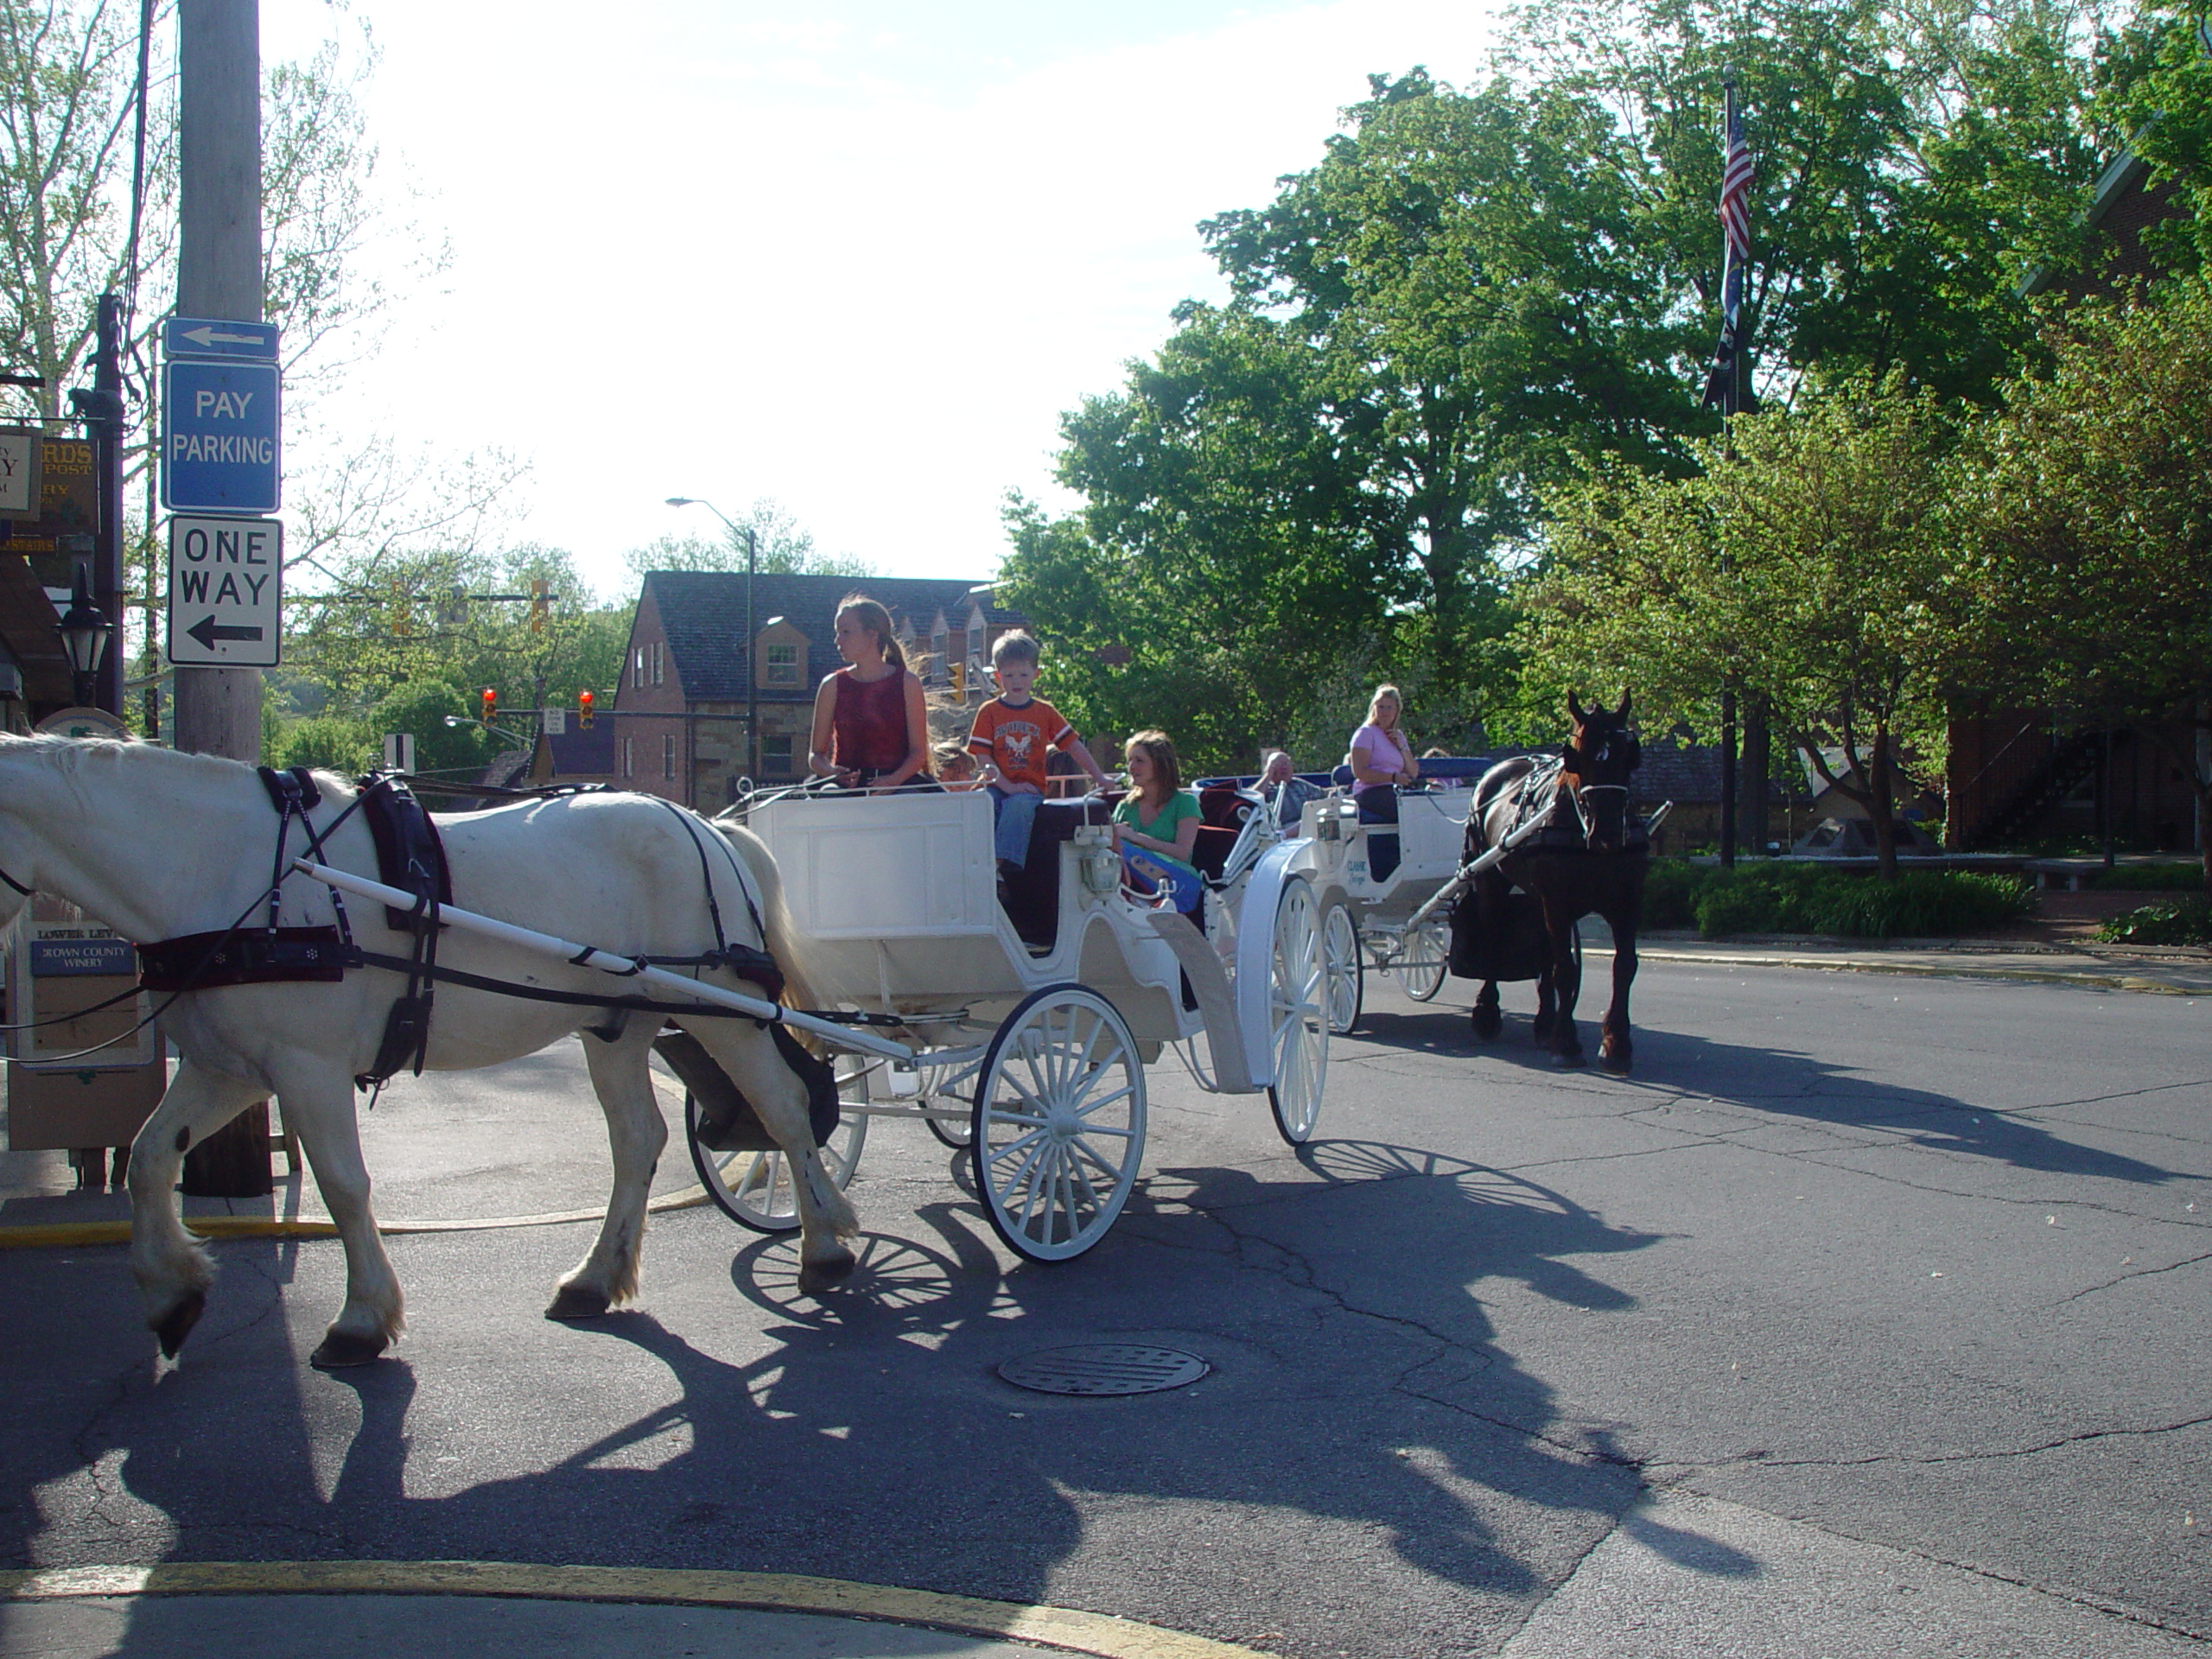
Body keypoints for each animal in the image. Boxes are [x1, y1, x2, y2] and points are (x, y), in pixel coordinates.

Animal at [0, 734, 854, 1371]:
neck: (235, 874)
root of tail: (704, 825)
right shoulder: (229, 1068)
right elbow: (148, 1158)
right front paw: (172, 1296)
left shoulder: (306, 1069)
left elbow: (343, 1187)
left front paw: (361, 1319)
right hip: (619, 1026)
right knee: (639, 1139)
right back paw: (595, 1278)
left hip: (722, 1010)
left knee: (784, 1109)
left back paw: (822, 1246)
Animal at [1451, 694, 1645, 1071]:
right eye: (1578, 757)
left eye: (1627, 755)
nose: (1607, 833)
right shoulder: (1558, 900)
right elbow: (1565, 969)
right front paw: (1567, 1043)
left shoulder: (1627, 901)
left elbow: (1624, 966)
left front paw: (1616, 1044)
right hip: (1491, 880)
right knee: (1493, 938)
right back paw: (1488, 1013)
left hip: (1535, 896)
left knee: (1545, 953)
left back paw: (1544, 1022)